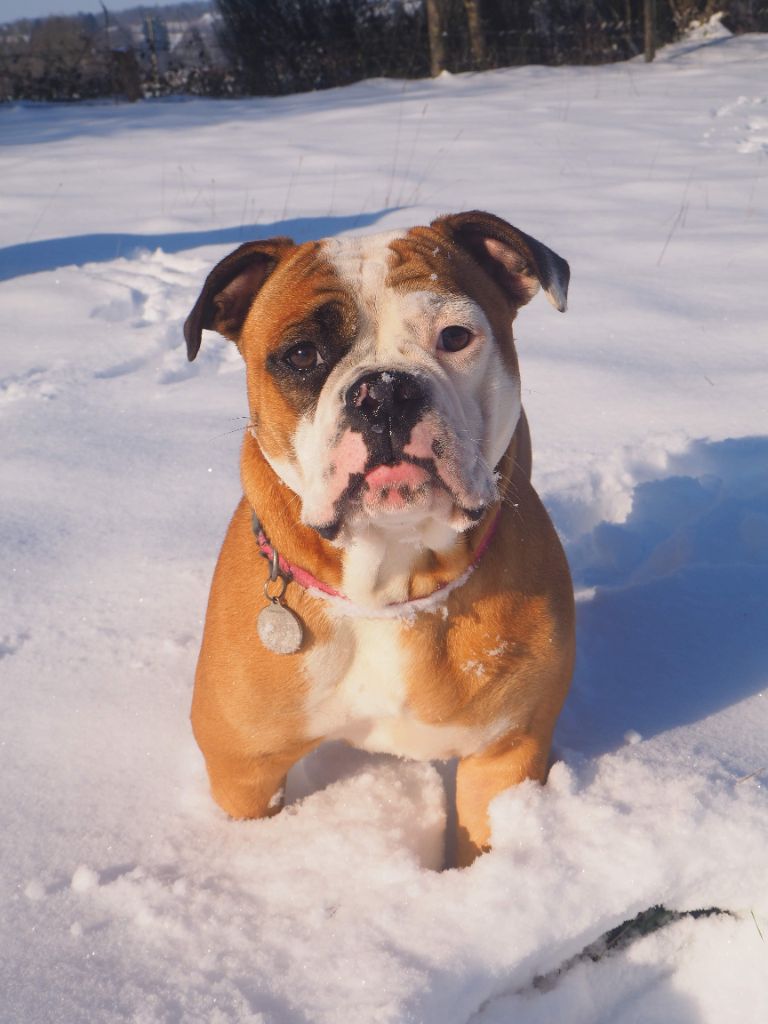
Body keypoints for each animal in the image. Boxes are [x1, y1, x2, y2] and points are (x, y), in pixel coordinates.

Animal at [183, 209, 573, 864]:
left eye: (454, 337)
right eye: (302, 354)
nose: (386, 390)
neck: (389, 582)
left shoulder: (505, 753)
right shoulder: (244, 769)